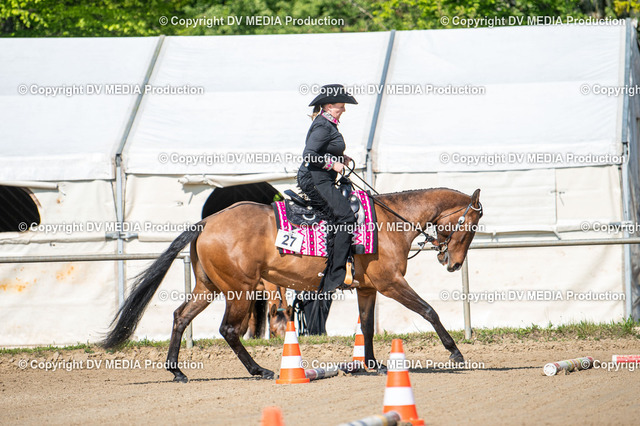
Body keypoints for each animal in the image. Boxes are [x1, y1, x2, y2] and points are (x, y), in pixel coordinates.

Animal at [102, 187, 483, 382]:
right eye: (471, 225)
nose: (453, 263)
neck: (389, 221)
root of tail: (207, 221)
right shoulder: (390, 283)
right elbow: (429, 311)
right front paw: (456, 352)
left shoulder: (368, 289)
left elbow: (368, 327)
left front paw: (371, 366)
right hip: (239, 290)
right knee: (229, 330)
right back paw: (260, 370)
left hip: (209, 288)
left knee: (181, 317)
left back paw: (177, 370)